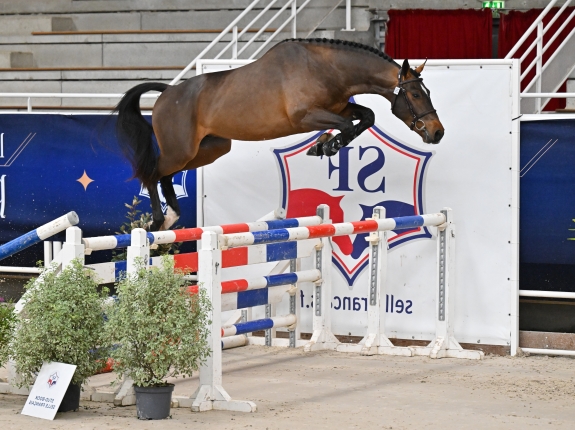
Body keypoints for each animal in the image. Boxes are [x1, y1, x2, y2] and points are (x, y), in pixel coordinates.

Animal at [114, 38, 445, 232]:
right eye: (416, 94)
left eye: (428, 91)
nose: (437, 132)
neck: (329, 69)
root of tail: (167, 93)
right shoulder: (306, 116)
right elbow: (349, 126)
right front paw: (325, 146)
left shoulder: (339, 107)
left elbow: (366, 117)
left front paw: (324, 145)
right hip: (180, 150)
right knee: (152, 172)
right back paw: (159, 219)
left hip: (208, 150)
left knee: (165, 175)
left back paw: (172, 216)